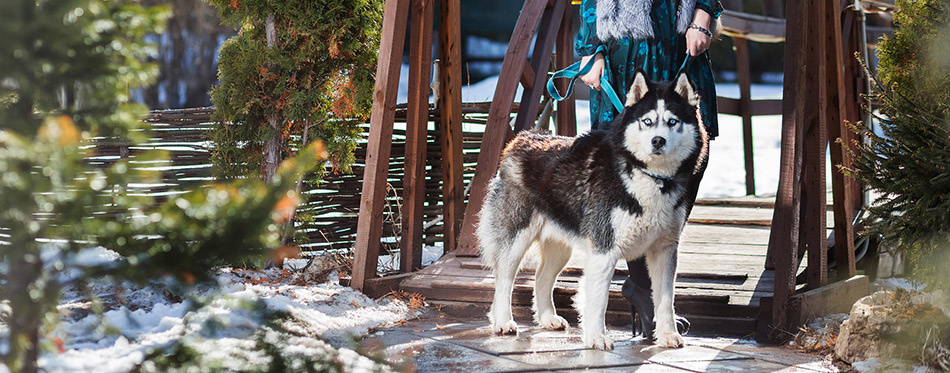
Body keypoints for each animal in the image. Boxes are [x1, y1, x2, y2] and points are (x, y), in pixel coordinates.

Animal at [480, 69, 712, 348]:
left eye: (672, 121)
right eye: (647, 121)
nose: (658, 141)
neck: (648, 176)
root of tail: (524, 138)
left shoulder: (664, 250)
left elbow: (666, 300)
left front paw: (667, 335)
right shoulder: (604, 250)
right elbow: (599, 299)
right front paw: (597, 337)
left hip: (560, 247)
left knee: (541, 277)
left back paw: (548, 318)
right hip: (516, 238)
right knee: (504, 279)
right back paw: (503, 321)